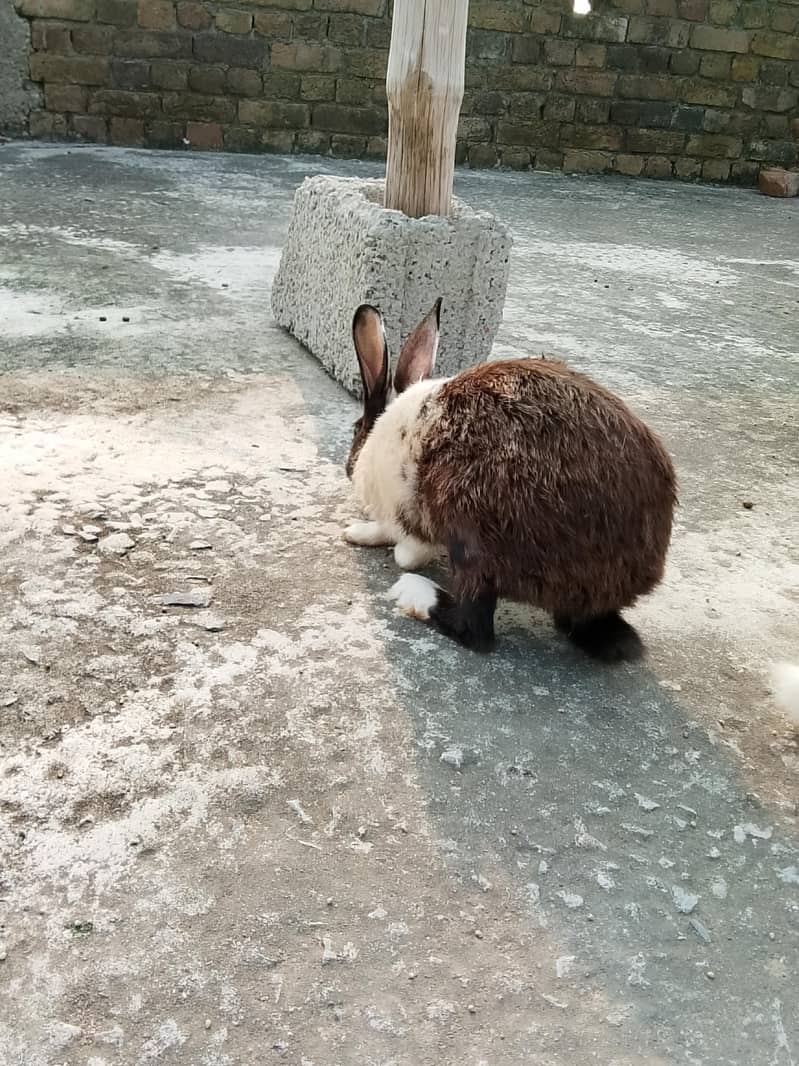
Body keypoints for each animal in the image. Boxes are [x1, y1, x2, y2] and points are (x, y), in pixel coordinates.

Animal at [343, 299, 677, 662]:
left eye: (356, 429)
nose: (348, 466)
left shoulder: (411, 516)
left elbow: (407, 549)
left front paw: (362, 533)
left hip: (471, 531)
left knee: (474, 626)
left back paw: (413, 592)